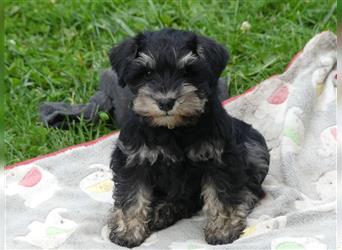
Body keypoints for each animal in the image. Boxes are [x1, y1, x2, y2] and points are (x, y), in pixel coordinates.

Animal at [108, 28, 268, 247]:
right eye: (147, 73)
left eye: (187, 72)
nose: (166, 102)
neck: (173, 129)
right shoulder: (133, 160)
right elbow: (131, 196)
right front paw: (127, 231)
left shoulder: (219, 159)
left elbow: (222, 194)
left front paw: (223, 228)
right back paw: (162, 211)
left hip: (255, 148)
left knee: (249, 189)